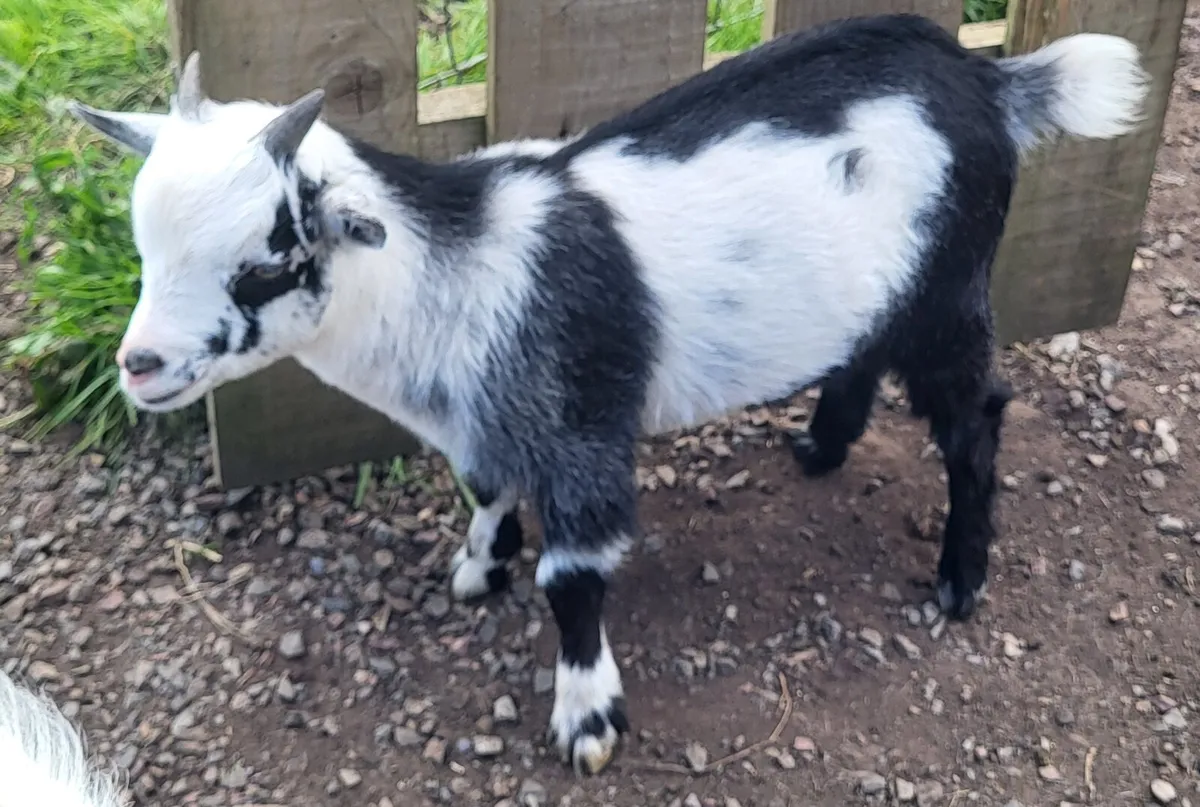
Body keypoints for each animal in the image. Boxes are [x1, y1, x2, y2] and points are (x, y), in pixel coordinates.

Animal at [69, 13, 1150, 774]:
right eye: (143, 248)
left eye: (264, 264)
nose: (141, 365)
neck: (456, 277)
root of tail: (992, 77)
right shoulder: (492, 421)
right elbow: (486, 491)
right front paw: (481, 564)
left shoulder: (581, 430)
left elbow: (574, 580)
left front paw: (587, 718)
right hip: (883, 288)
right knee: (862, 351)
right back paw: (822, 445)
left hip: (951, 289)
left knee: (974, 421)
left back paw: (961, 577)